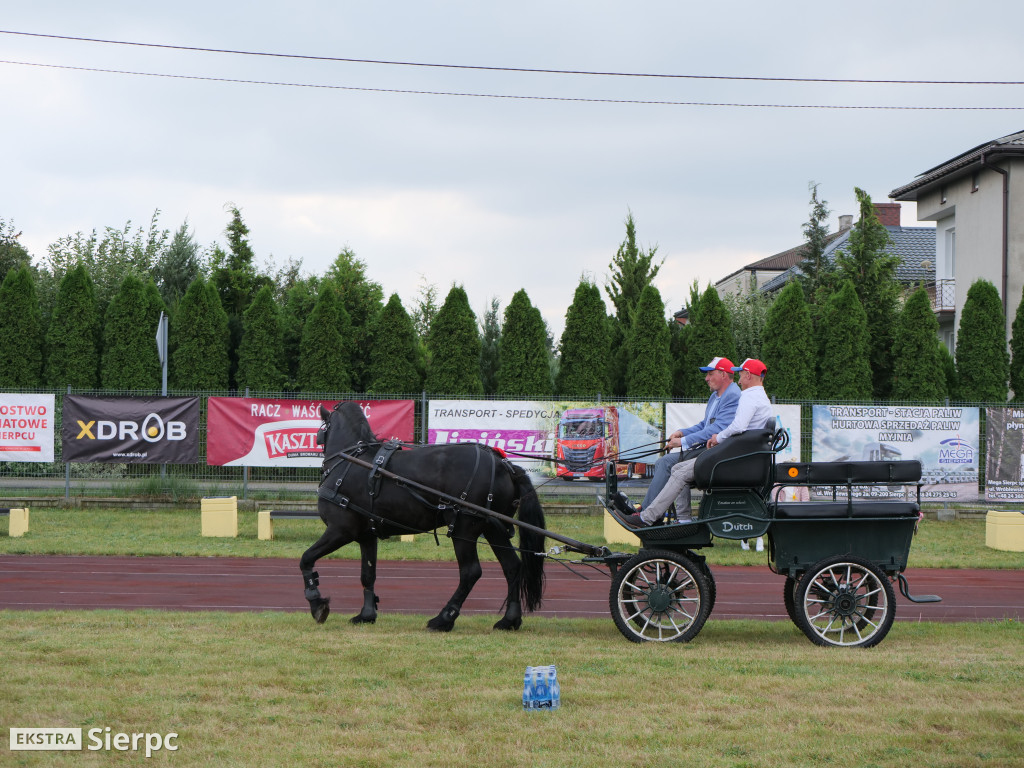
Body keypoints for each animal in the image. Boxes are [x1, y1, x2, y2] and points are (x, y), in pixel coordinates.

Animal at [299, 403, 548, 630]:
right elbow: (367, 574)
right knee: (512, 567)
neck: (349, 461)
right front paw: (366, 614)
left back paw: (444, 619)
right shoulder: (366, 535)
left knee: (470, 572)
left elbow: (306, 559)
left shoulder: (340, 530)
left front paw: (316, 603)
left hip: (464, 528)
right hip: (493, 528)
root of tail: (504, 465)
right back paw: (509, 619)